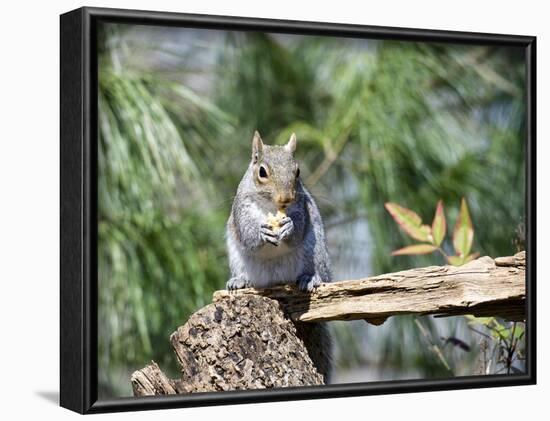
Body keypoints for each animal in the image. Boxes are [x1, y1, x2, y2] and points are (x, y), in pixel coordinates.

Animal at [226, 130, 334, 378]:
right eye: (262, 172)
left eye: (298, 171)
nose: (286, 199)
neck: (270, 208)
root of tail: (276, 279)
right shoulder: (241, 208)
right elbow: (247, 233)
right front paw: (261, 232)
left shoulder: (302, 208)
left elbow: (297, 227)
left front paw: (289, 228)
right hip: (237, 256)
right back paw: (240, 281)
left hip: (316, 251)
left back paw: (310, 278)